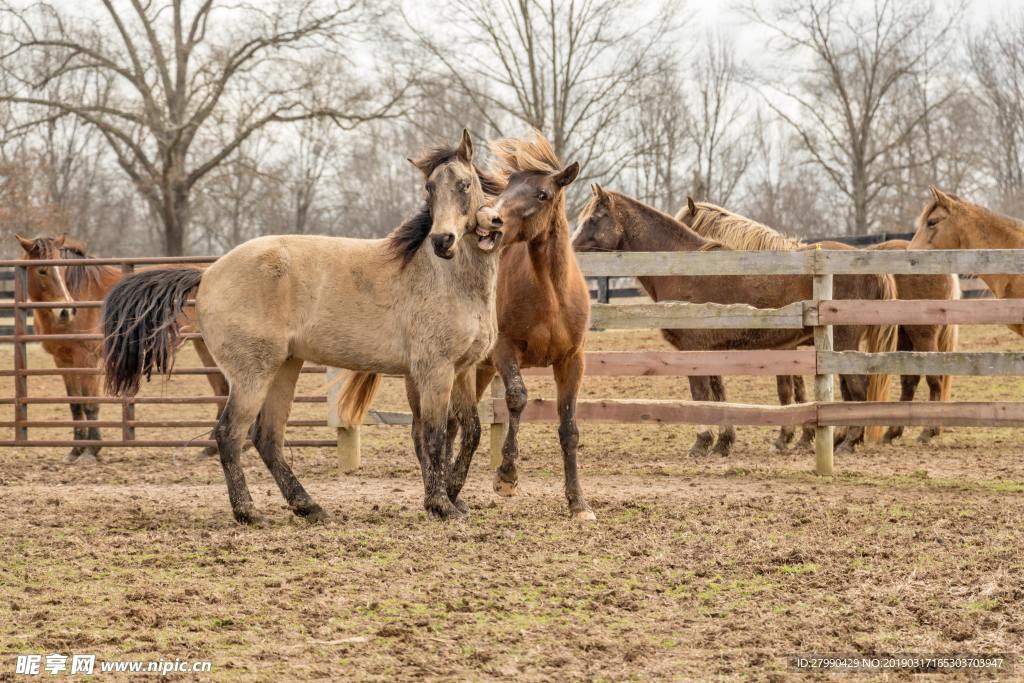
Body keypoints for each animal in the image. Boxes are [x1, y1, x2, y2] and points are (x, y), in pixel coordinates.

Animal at [15, 234, 228, 462]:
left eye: (63, 271)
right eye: (42, 270)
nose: (66, 311)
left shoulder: (87, 359)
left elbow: (90, 403)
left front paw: (91, 450)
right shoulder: (63, 360)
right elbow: (75, 404)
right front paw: (75, 450)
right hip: (205, 347)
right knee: (223, 391)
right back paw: (210, 449)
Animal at [102, 130, 505, 524]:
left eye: (465, 184)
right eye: (430, 188)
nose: (442, 241)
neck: (446, 278)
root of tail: (209, 272)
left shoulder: (462, 371)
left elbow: (469, 431)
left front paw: (451, 497)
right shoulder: (433, 370)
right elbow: (435, 436)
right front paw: (441, 505)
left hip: (284, 367)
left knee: (267, 438)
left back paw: (308, 506)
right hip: (253, 374)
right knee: (230, 434)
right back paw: (249, 512)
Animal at [573, 186, 897, 455]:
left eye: (594, 218)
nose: (570, 252)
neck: (682, 269)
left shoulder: (693, 351)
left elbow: (701, 394)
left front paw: (702, 442)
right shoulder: (712, 351)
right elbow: (719, 395)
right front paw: (723, 442)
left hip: (843, 343)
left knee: (857, 388)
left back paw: (848, 442)